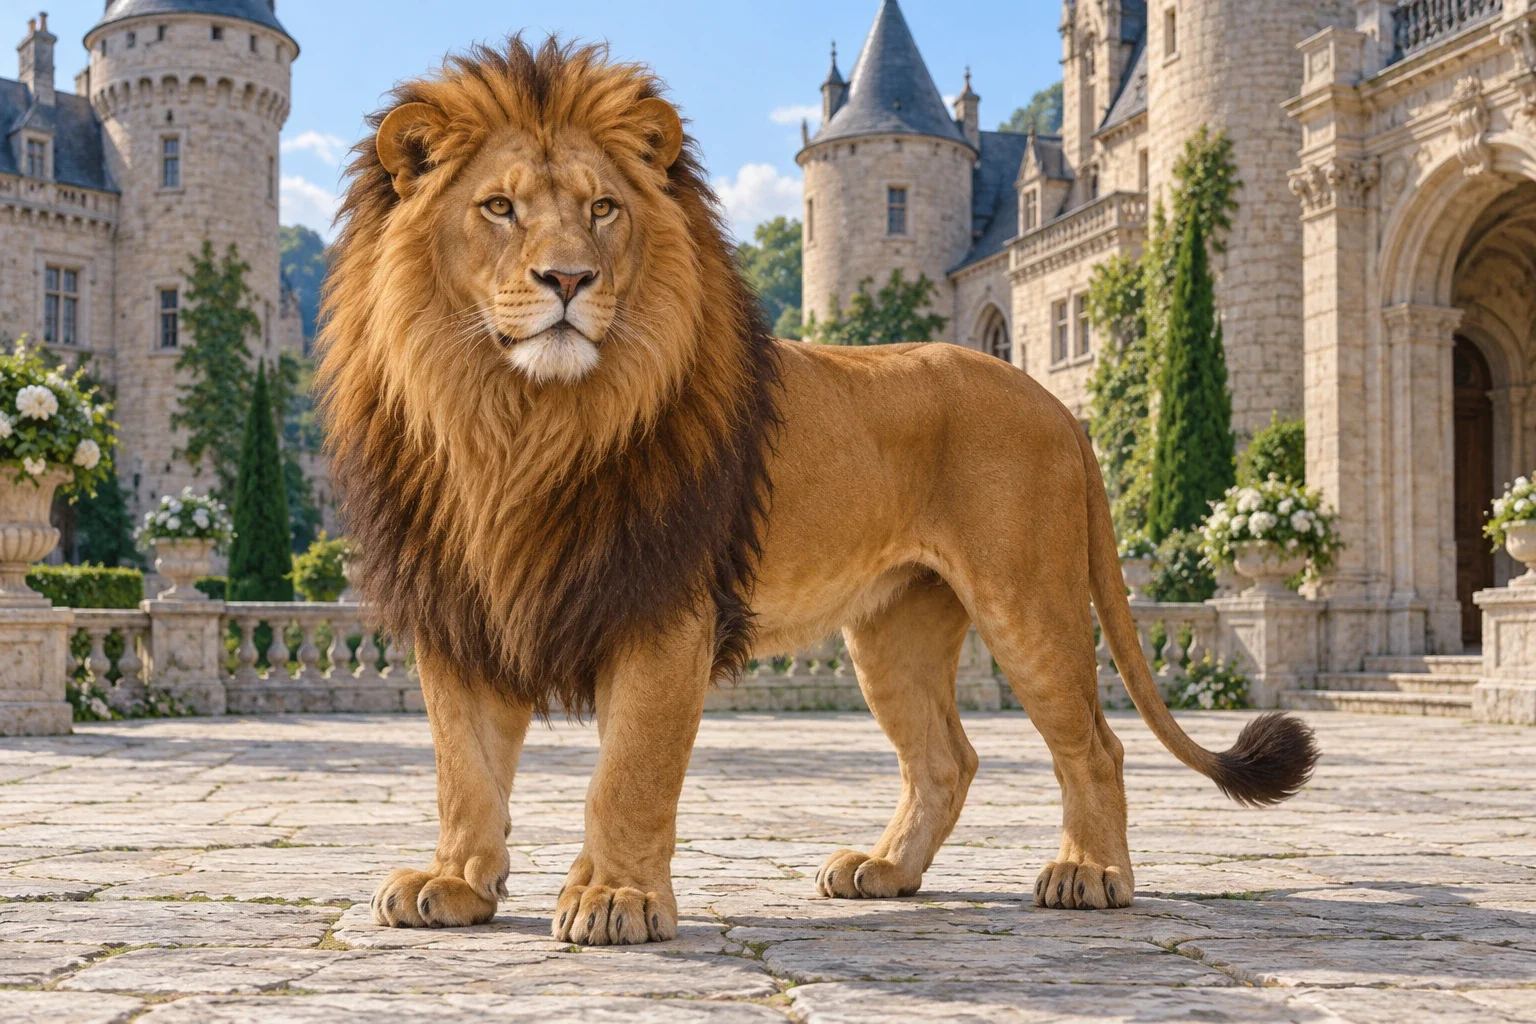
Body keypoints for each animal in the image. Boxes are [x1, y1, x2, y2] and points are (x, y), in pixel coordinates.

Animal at [317, 37, 1319, 946]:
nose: (569, 279)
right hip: (894, 630)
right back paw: (886, 870)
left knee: (1095, 745)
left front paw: (616, 898)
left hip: (1027, 600)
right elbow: (465, 769)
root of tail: (1051, 400)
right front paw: (456, 883)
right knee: (948, 758)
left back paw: (1091, 874)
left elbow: (629, 771)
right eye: (497, 208)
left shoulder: (667, 608)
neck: (515, 420)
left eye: (603, 208)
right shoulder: (462, 607)